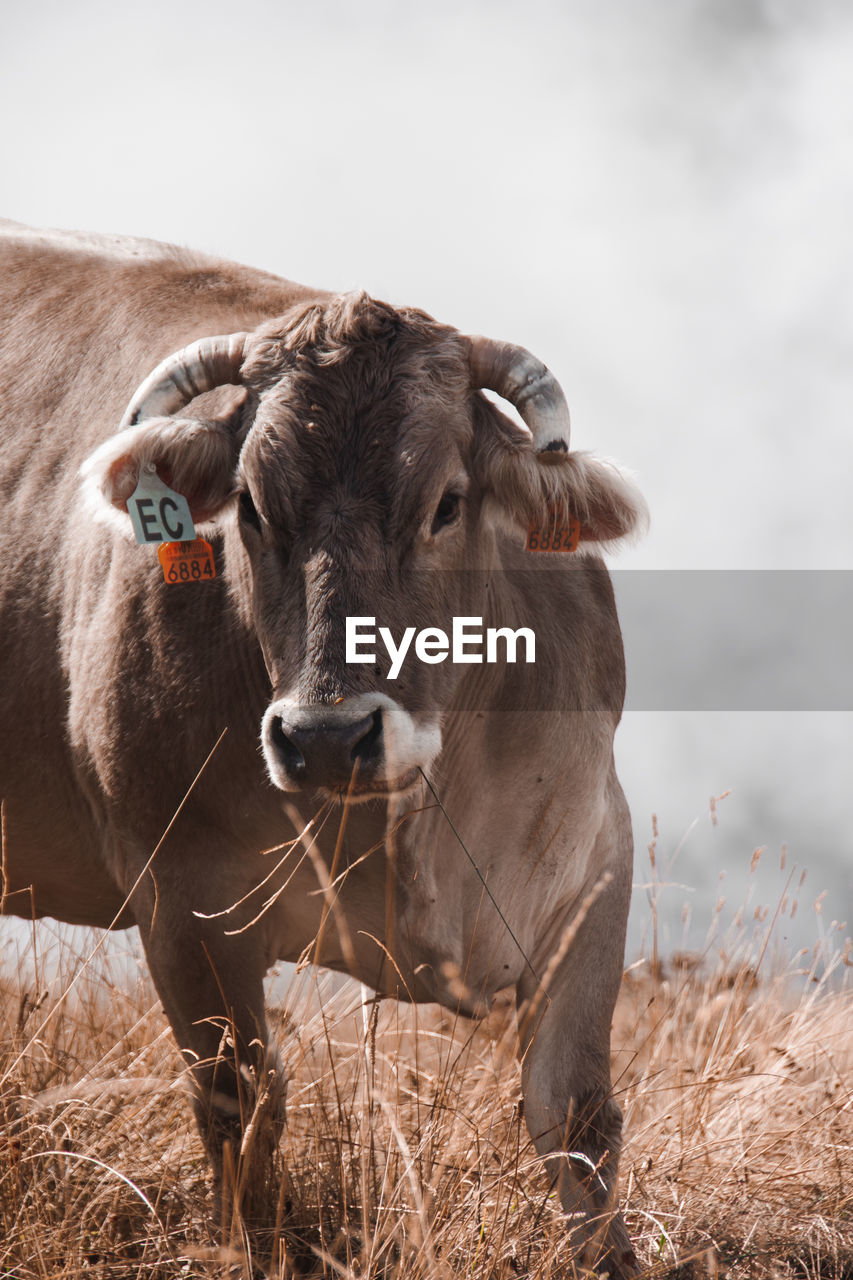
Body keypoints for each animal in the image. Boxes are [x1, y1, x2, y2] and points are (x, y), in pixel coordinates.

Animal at [0, 220, 645, 1269]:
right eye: (251, 507)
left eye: (447, 502)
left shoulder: (594, 859)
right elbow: (242, 1108)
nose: (329, 738)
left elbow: (576, 1114)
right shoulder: (181, 900)